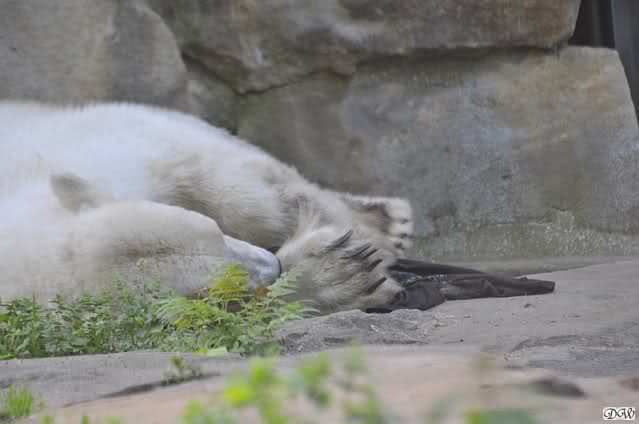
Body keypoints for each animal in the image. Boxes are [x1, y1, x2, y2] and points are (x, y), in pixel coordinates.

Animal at [0, 101, 414, 314]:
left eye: (215, 230)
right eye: (214, 290)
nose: (274, 265)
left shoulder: (109, 151)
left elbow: (232, 190)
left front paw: (367, 246)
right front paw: (339, 274)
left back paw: (390, 222)